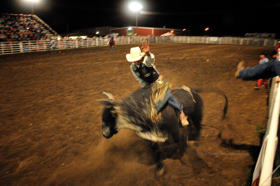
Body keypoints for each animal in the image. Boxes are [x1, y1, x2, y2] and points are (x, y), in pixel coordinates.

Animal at [99, 85, 228, 175]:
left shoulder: (174, 129)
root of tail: (193, 90)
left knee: (199, 127)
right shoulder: (151, 136)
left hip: (197, 115)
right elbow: (156, 151)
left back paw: (196, 142)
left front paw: (182, 159)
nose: (104, 134)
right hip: (190, 117)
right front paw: (160, 168)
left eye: (106, 118)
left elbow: (179, 142)